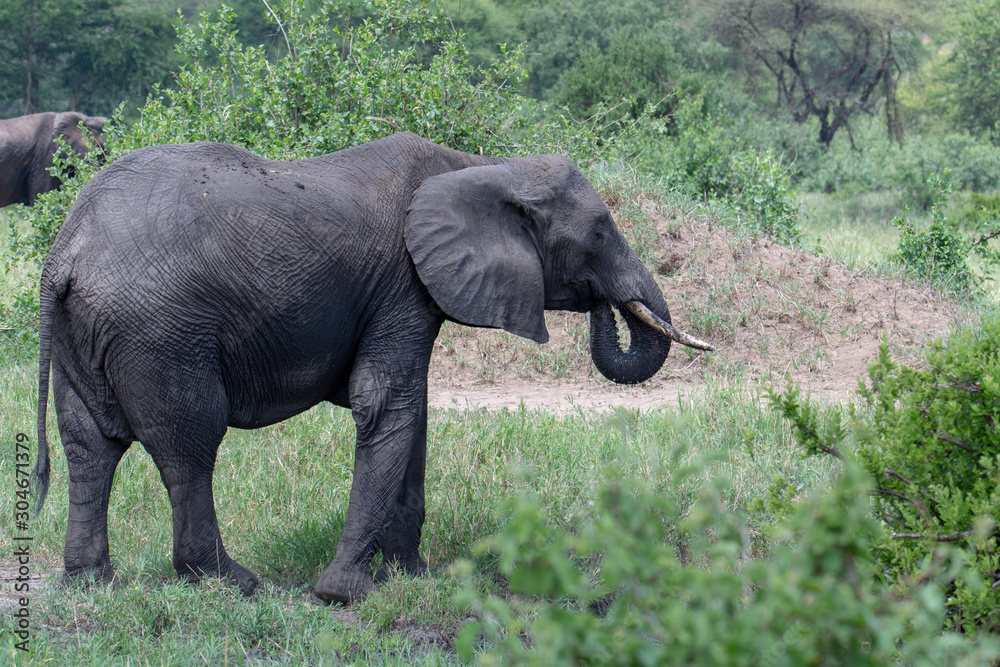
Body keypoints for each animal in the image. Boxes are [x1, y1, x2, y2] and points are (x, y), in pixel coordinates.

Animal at [31, 131, 713, 604]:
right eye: (599, 232)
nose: (603, 303)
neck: (482, 165)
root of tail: (64, 252)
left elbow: (413, 412)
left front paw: (415, 578)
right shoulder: (402, 284)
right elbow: (387, 401)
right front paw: (344, 594)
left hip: (85, 331)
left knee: (89, 444)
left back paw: (90, 584)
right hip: (161, 333)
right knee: (189, 446)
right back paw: (232, 582)